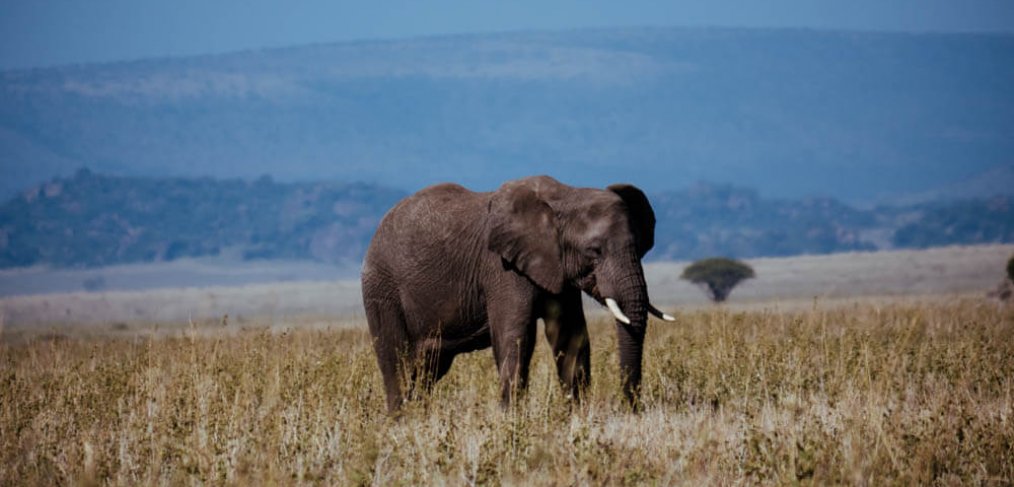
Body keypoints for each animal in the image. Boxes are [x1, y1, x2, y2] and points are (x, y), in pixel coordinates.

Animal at [360, 174, 677, 409]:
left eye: (639, 247)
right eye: (594, 251)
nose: (631, 407)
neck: (566, 197)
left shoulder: (557, 268)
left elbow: (571, 335)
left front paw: (577, 413)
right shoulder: (503, 269)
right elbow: (516, 334)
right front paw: (510, 419)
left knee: (427, 370)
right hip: (381, 289)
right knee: (397, 363)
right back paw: (401, 419)